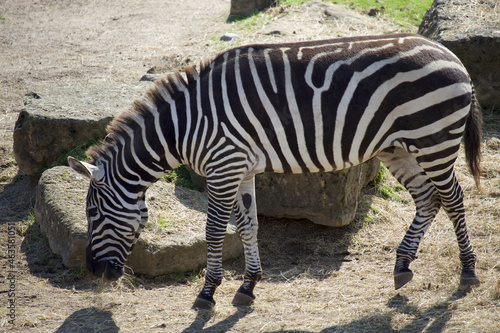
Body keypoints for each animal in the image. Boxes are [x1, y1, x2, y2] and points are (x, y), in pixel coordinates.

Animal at [68, 32, 482, 308]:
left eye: (92, 213)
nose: (94, 271)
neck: (184, 126)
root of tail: (451, 54)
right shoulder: (241, 169)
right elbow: (248, 226)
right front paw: (248, 285)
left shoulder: (223, 167)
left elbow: (214, 231)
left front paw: (208, 292)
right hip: (398, 148)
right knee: (428, 200)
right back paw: (402, 264)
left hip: (434, 141)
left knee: (454, 199)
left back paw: (467, 270)